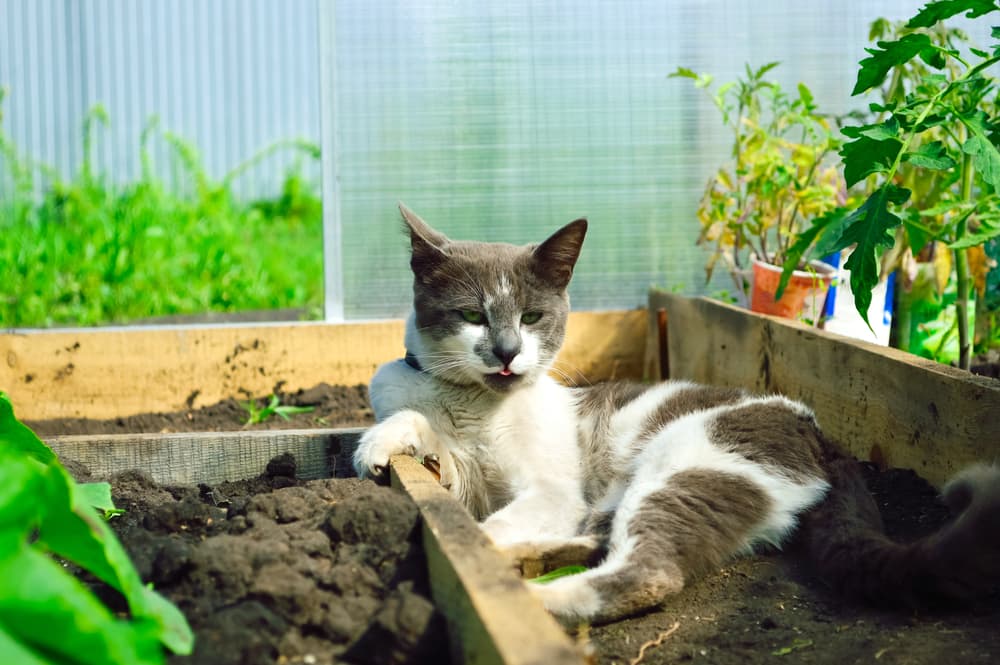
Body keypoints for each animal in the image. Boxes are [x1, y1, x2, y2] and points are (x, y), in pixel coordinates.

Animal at [352, 205, 1000, 624]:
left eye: (532, 317)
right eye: (472, 315)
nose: (508, 351)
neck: (479, 405)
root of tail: (821, 435)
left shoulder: (551, 489)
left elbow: (490, 525)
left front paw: (475, 552)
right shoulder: (464, 468)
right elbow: (431, 442)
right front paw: (381, 446)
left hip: (687, 465)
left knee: (647, 572)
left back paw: (523, 597)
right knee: (600, 538)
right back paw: (528, 564)